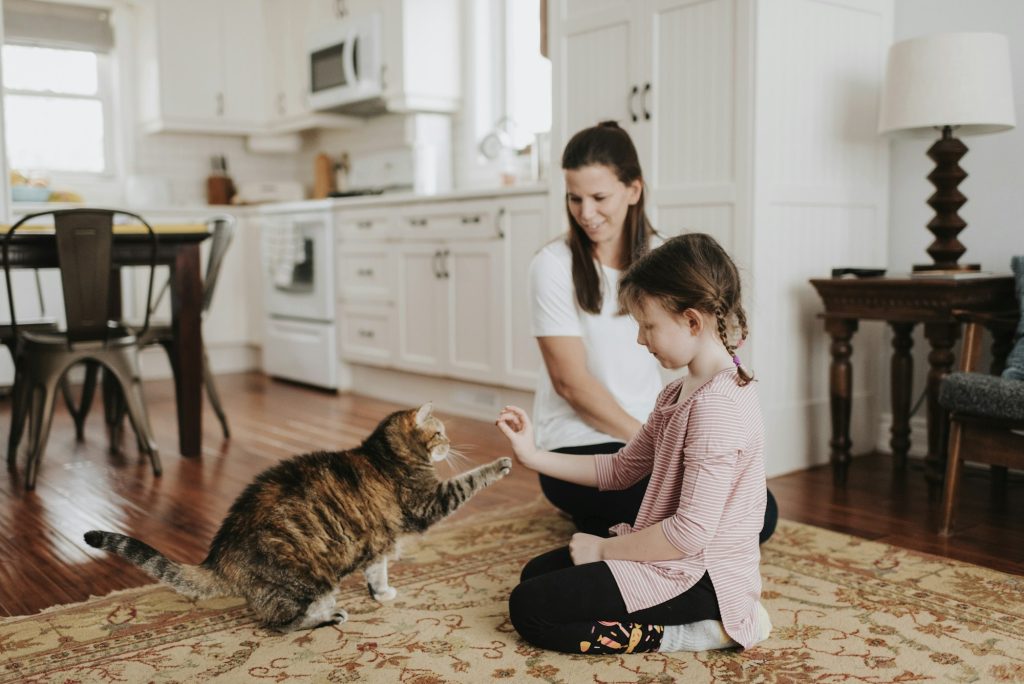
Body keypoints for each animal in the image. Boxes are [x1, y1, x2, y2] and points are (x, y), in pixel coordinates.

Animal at [82, 403, 512, 634]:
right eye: (439, 432)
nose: (451, 444)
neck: (384, 454)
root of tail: (219, 556)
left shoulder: (376, 545)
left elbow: (377, 572)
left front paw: (382, 593)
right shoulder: (430, 501)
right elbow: (470, 480)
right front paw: (501, 463)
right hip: (307, 578)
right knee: (280, 623)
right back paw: (328, 617)